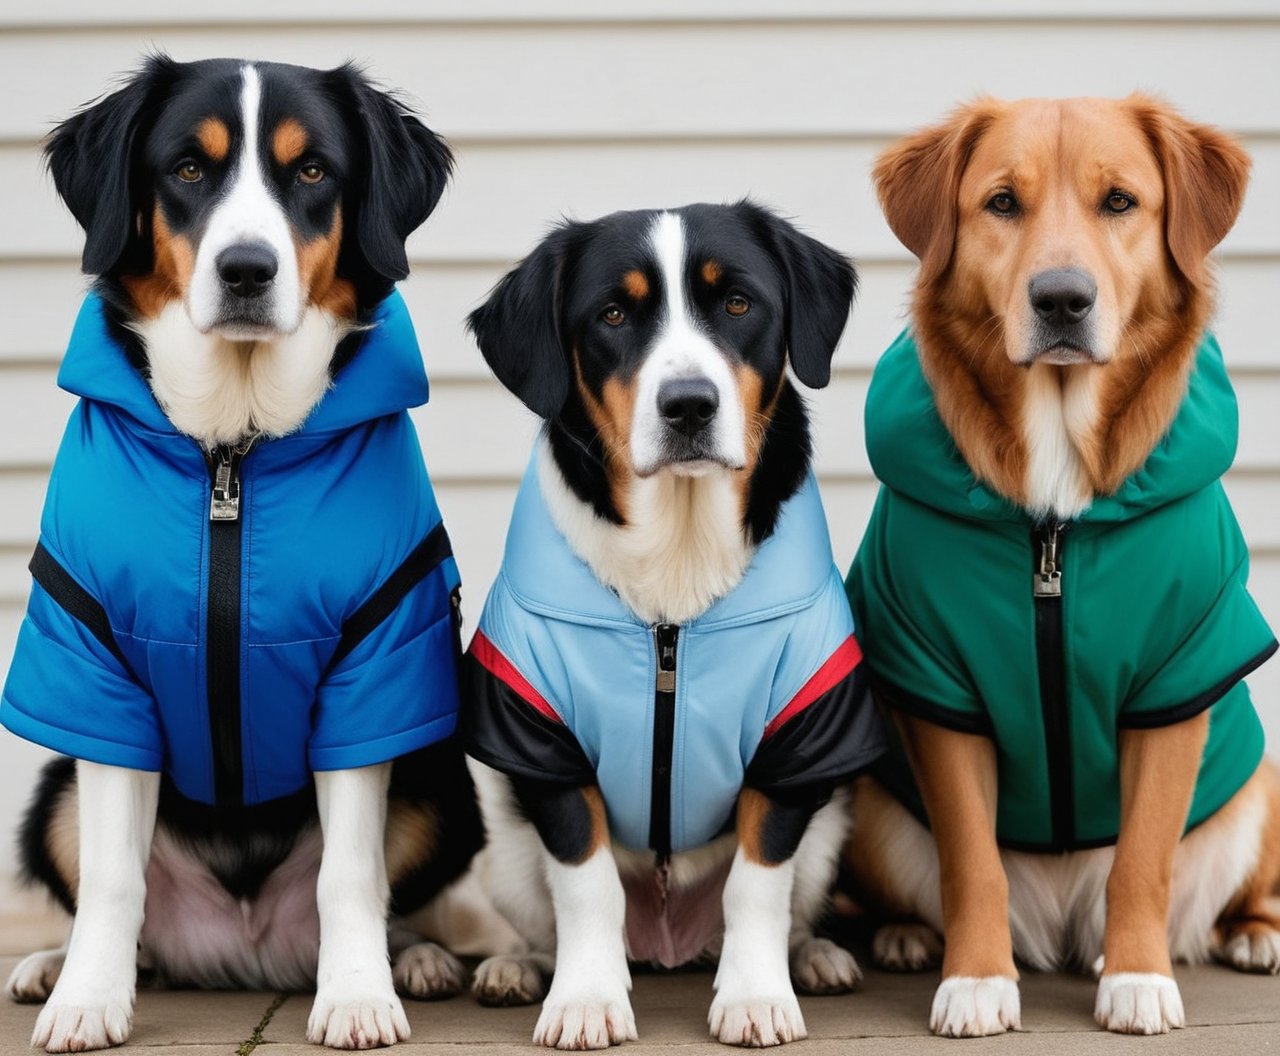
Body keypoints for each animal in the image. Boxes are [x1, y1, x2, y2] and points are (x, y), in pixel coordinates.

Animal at [1, 59, 481, 1054]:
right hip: (53, 796)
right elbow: (111, 877)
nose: (247, 270)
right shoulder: (98, 676)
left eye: (313, 173)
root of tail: (245, 951)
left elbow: (351, 874)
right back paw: (54, 967)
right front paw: (87, 999)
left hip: (439, 778)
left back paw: (416, 959)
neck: (235, 443)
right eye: (188, 168)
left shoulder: (370, 673)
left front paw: (358, 995)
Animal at [463, 203, 890, 1044]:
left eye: (738, 303)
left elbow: (757, 884)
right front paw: (584, 998)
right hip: (507, 843)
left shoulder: (798, 739)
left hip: (830, 829)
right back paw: (518, 969)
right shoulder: (545, 747)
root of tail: (667, 943)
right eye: (613, 315)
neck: (678, 554)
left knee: (787, 908)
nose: (689, 403)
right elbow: (586, 883)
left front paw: (756, 995)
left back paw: (814, 957)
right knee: (542, 915)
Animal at [844, 96, 1274, 1039]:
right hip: (872, 800)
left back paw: (1240, 936)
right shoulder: (943, 690)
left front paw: (1140, 976)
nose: (1062, 298)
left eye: (1120, 202)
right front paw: (975, 980)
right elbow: (972, 862)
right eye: (1002, 203)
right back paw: (904, 936)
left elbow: (1143, 857)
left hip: (1260, 785)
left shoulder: (1177, 680)